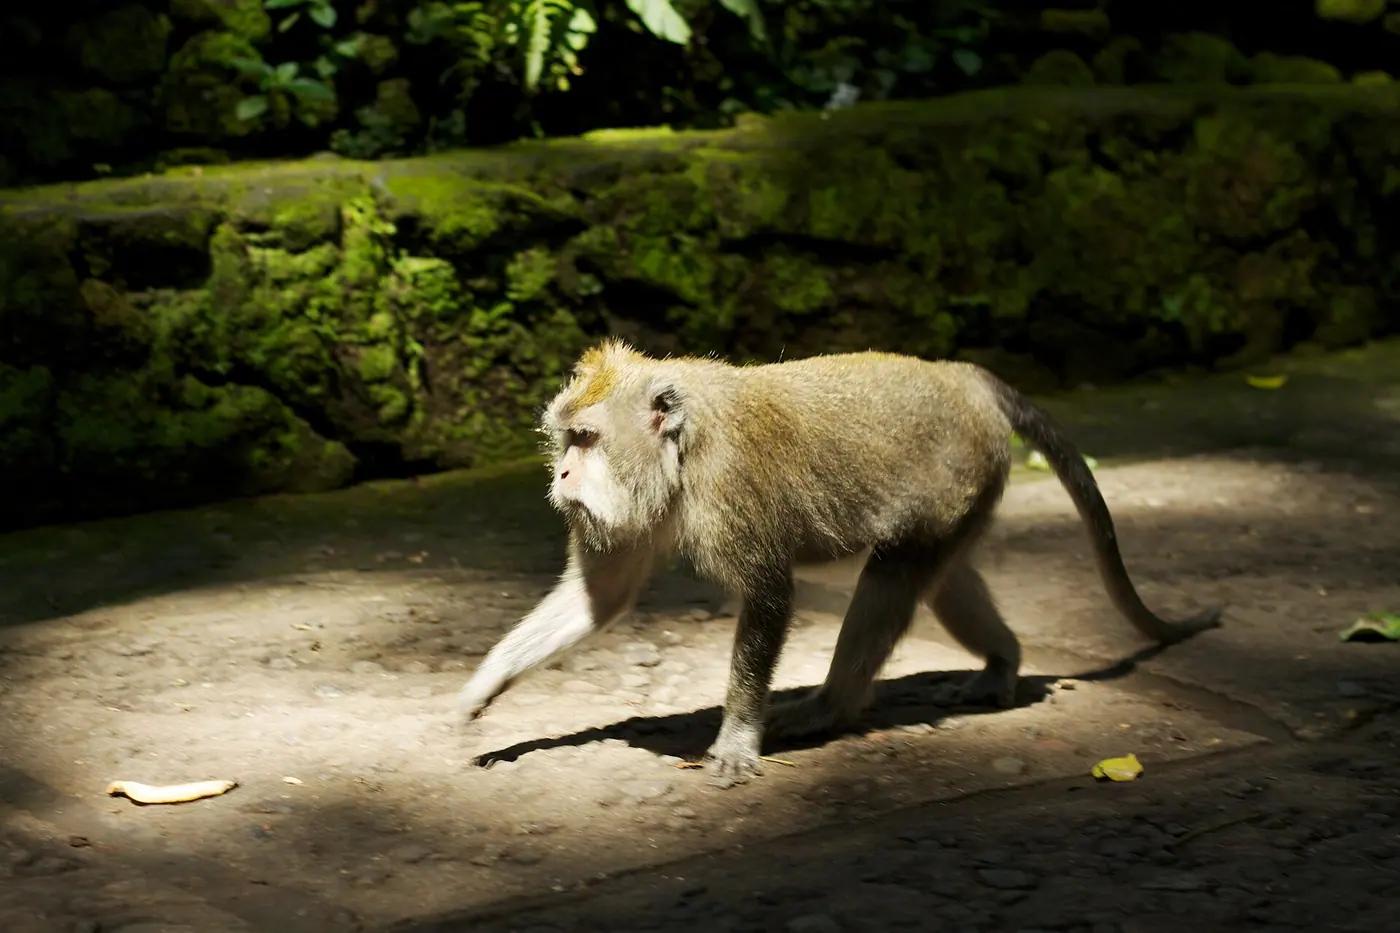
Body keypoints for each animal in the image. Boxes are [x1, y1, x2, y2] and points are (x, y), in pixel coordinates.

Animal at [456, 341, 1219, 785]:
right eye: (566, 440)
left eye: (586, 438)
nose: (561, 477)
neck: (683, 449)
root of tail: (962, 378)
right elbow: (599, 599)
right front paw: (482, 687)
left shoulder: (732, 490)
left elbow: (768, 595)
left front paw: (737, 737)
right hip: (969, 492)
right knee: (939, 577)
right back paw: (1002, 663)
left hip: (962, 472)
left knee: (893, 576)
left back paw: (831, 707)